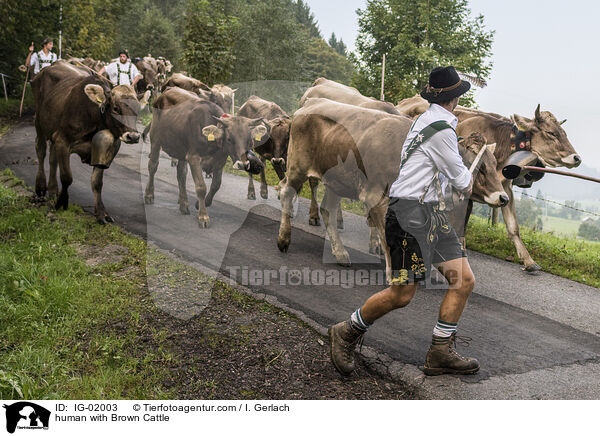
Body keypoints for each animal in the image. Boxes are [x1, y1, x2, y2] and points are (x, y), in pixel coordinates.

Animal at [32, 61, 142, 223]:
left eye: (138, 110)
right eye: (116, 108)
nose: (133, 137)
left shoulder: (109, 149)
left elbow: (97, 183)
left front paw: (101, 214)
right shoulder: (63, 140)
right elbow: (67, 177)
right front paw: (62, 202)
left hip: (53, 134)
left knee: (52, 160)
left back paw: (52, 191)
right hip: (39, 123)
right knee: (40, 151)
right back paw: (40, 188)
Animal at [144, 86, 268, 227]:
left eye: (249, 140)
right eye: (229, 139)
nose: (243, 164)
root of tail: (169, 89)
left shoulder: (220, 161)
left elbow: (216, 185)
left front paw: (201, 204)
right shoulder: (193, 157)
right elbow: (201, 186)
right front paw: (203, 217)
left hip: (181, 149)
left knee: (181, 174)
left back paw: (184, 204)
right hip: (155, 138)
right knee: (153, 166)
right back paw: (149, 195)